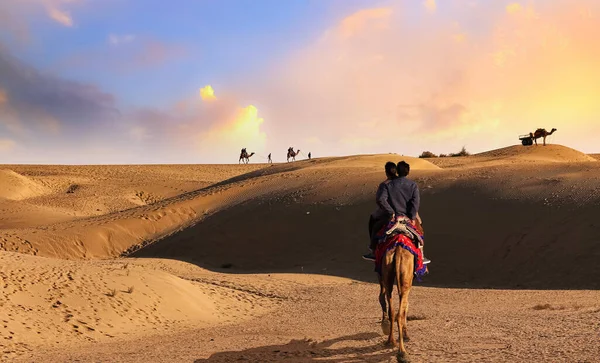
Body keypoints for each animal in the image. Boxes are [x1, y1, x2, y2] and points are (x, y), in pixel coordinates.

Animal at [378, 218, 424, 362]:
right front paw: (406, 334)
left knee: (392, 310)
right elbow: (406, 307)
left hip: (387, 270)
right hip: (405, 281)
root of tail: (398, 249)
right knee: (399, 312)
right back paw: (402, 352)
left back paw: (390, 340)